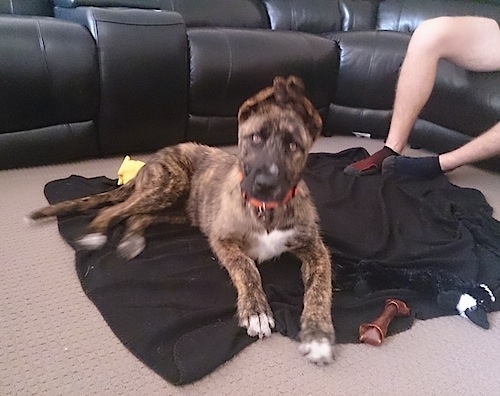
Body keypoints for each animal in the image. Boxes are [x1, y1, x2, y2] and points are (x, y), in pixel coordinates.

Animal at [30, 76, 336, 364]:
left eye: (293, 145)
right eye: (255, 138)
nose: (265, 184)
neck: (266, 209)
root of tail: (152, 160)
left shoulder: (315, 248)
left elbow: (321, 285)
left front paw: (318, 335)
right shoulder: (222, 239)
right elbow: (246, 268)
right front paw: (256, 311)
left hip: (181, 209)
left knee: (139, 215)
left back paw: (132, 239)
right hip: (169, 184)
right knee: (113, 210)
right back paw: (97, 234)